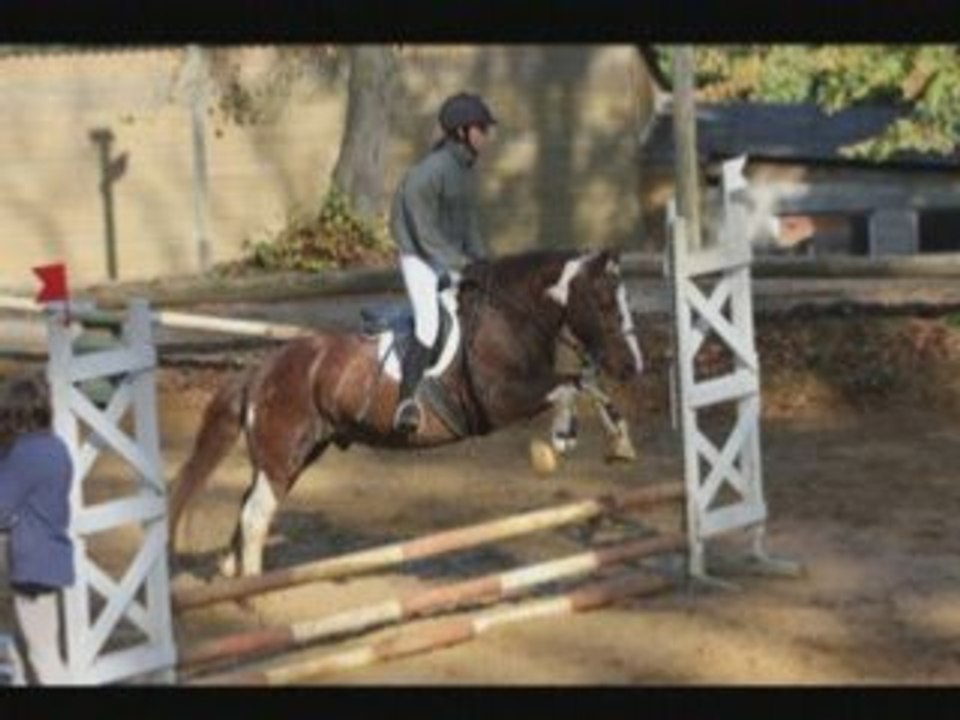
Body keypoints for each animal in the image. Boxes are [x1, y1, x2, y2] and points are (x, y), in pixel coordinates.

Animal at [169, 248, 645, 579]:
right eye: (605, 302)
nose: (632, 366)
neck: (511, 315)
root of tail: (262, 369)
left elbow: (588, 386)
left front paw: (620, 443)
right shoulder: (499, 400)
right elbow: (570, 386)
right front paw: (562, 435)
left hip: (294, 453)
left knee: (249, 506)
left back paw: (232, 576)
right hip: (283, 454)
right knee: (255, 515)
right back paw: (255, 594)